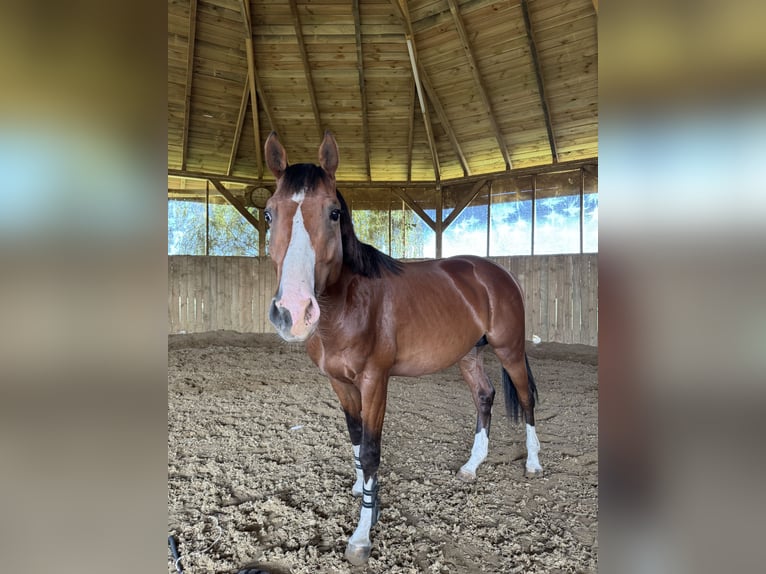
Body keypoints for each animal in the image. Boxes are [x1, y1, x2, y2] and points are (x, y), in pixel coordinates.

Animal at [264, 130, 544, 568]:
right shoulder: (340, 384)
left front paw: (362, 535)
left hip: (510, 349)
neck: (350, 302)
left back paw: (532, 463)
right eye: (268, 215)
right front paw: (364, 492)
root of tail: (496, 273)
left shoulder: (375, 381)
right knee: (485, 396)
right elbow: (356, 441)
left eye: (333, 213)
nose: (293, 310)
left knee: (527, 397)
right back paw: (471, 466)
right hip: (469, 355)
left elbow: (372, 450)